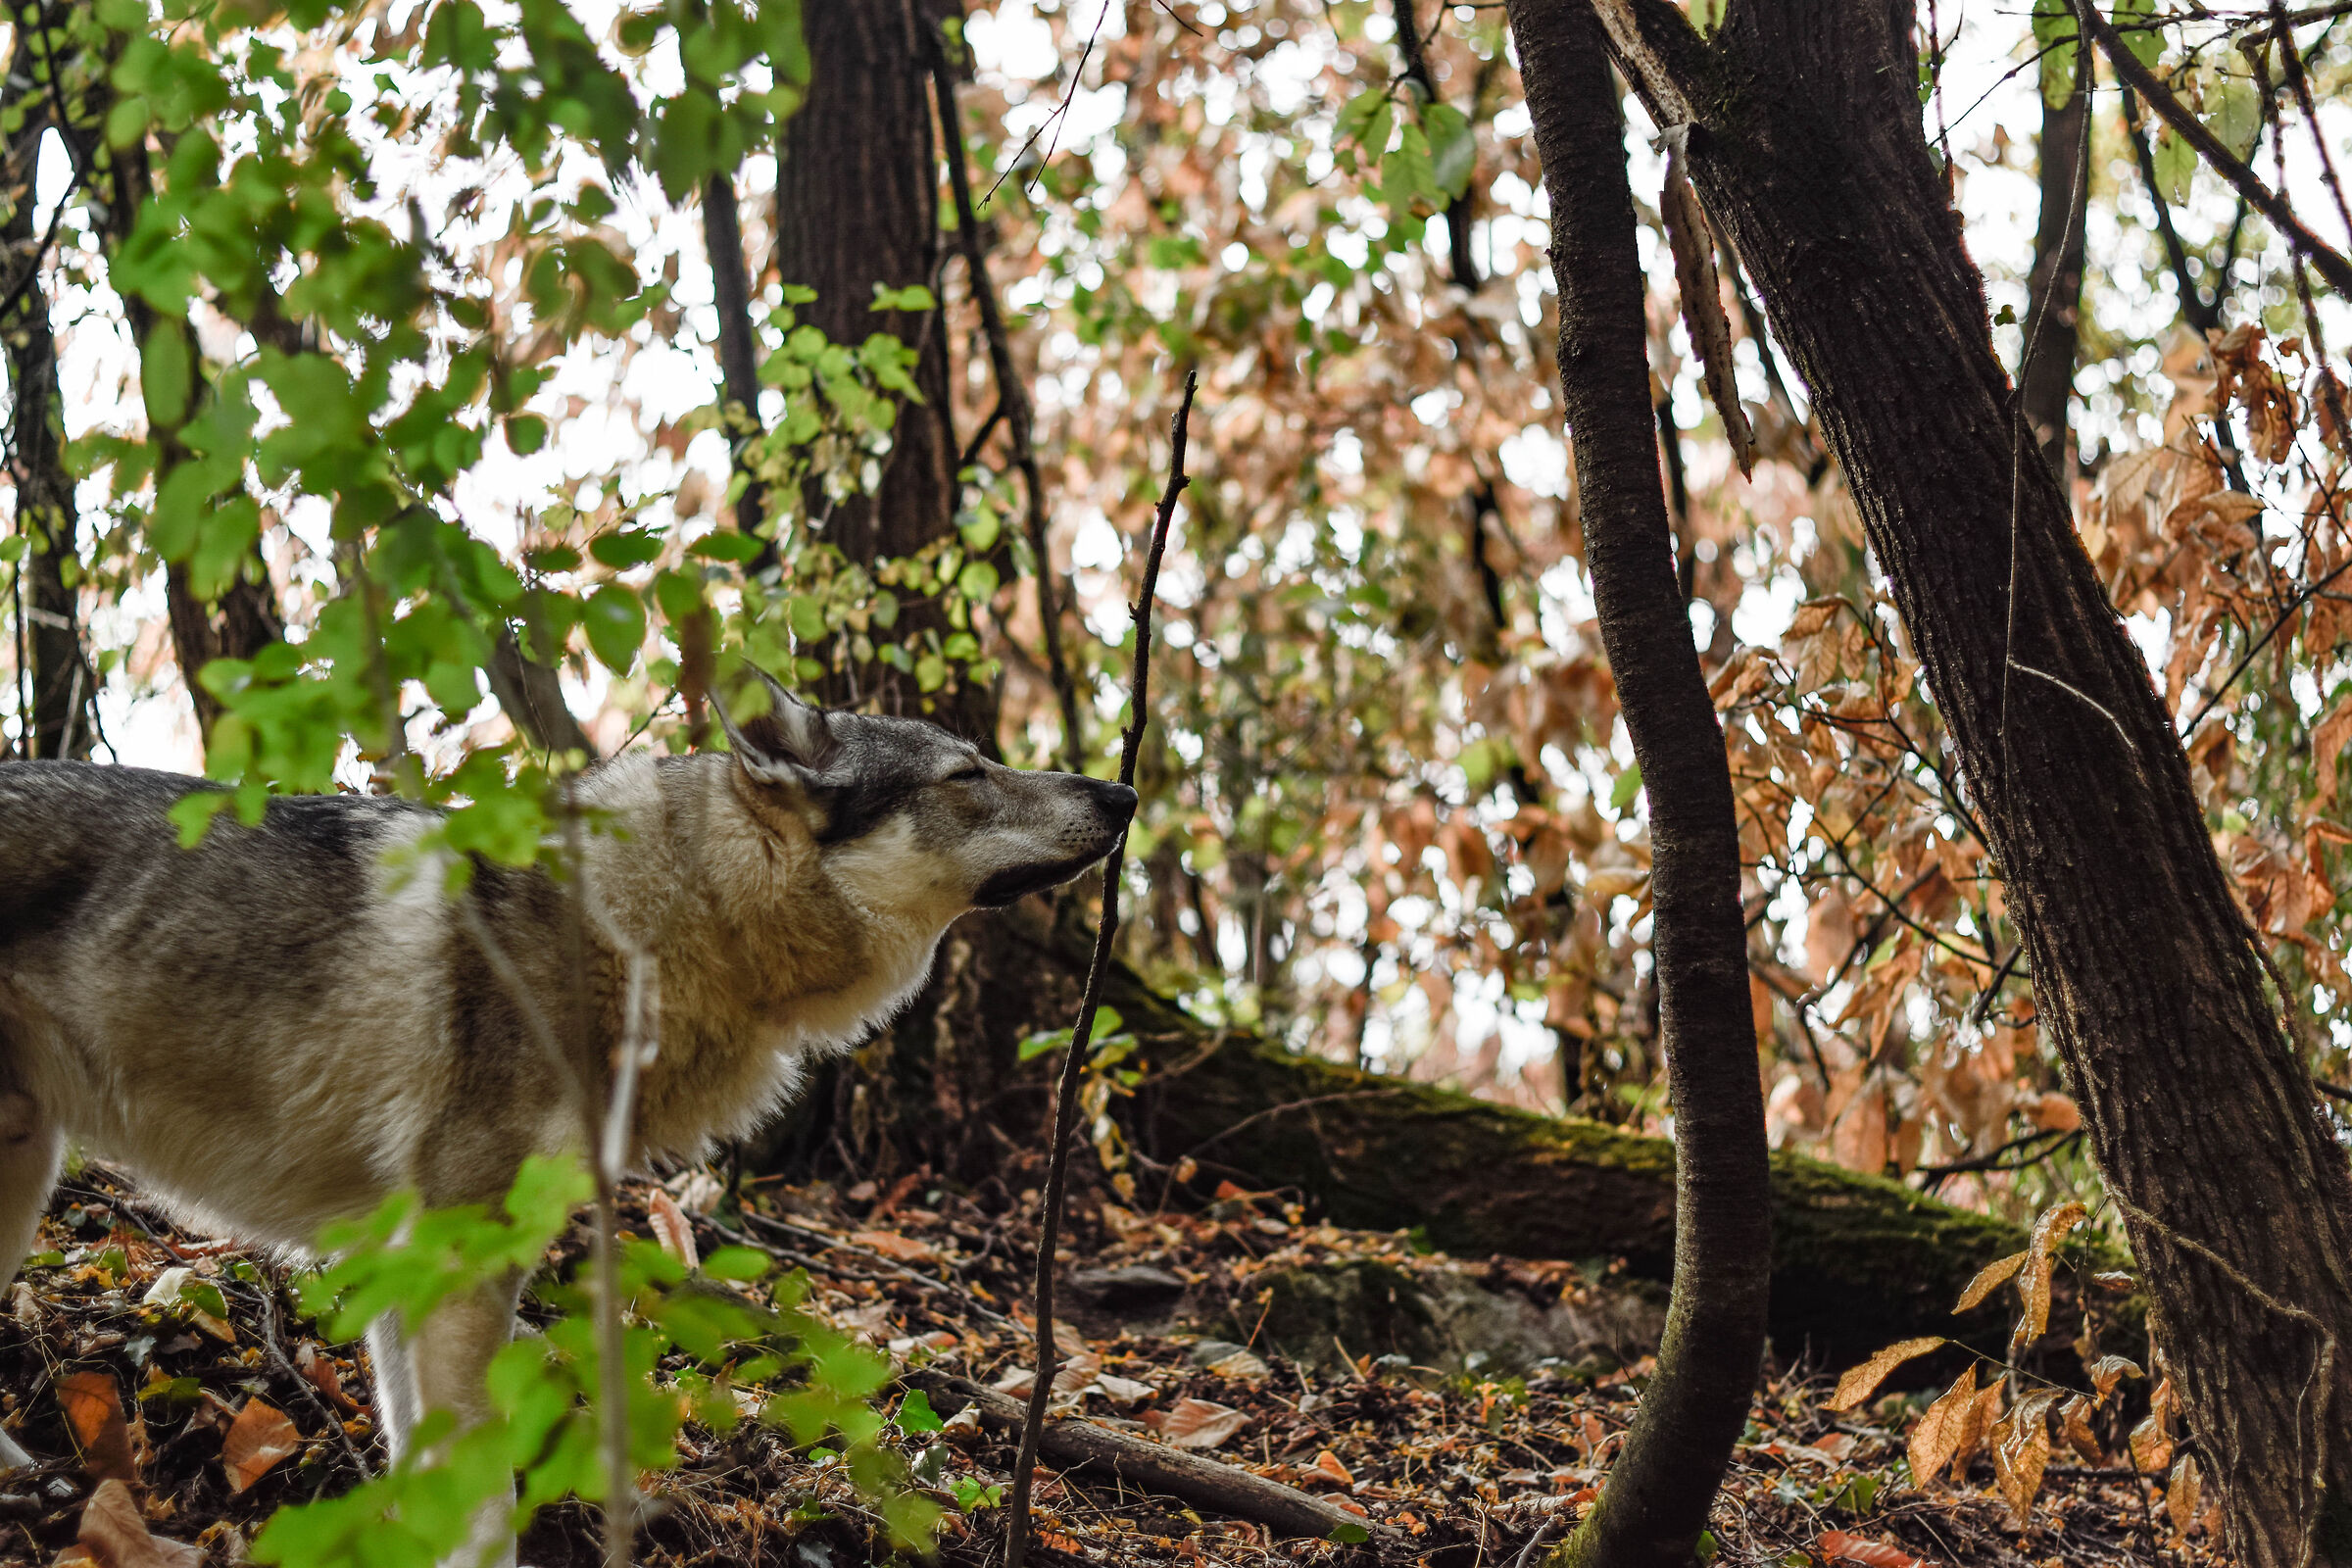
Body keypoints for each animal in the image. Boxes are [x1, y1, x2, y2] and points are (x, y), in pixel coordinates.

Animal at [0, 670, 1133, 1547]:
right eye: (966, 774)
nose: (1124, 790)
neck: (650, 917)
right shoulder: (459, 1258)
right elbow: (482, 1497)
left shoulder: (412, 1267)